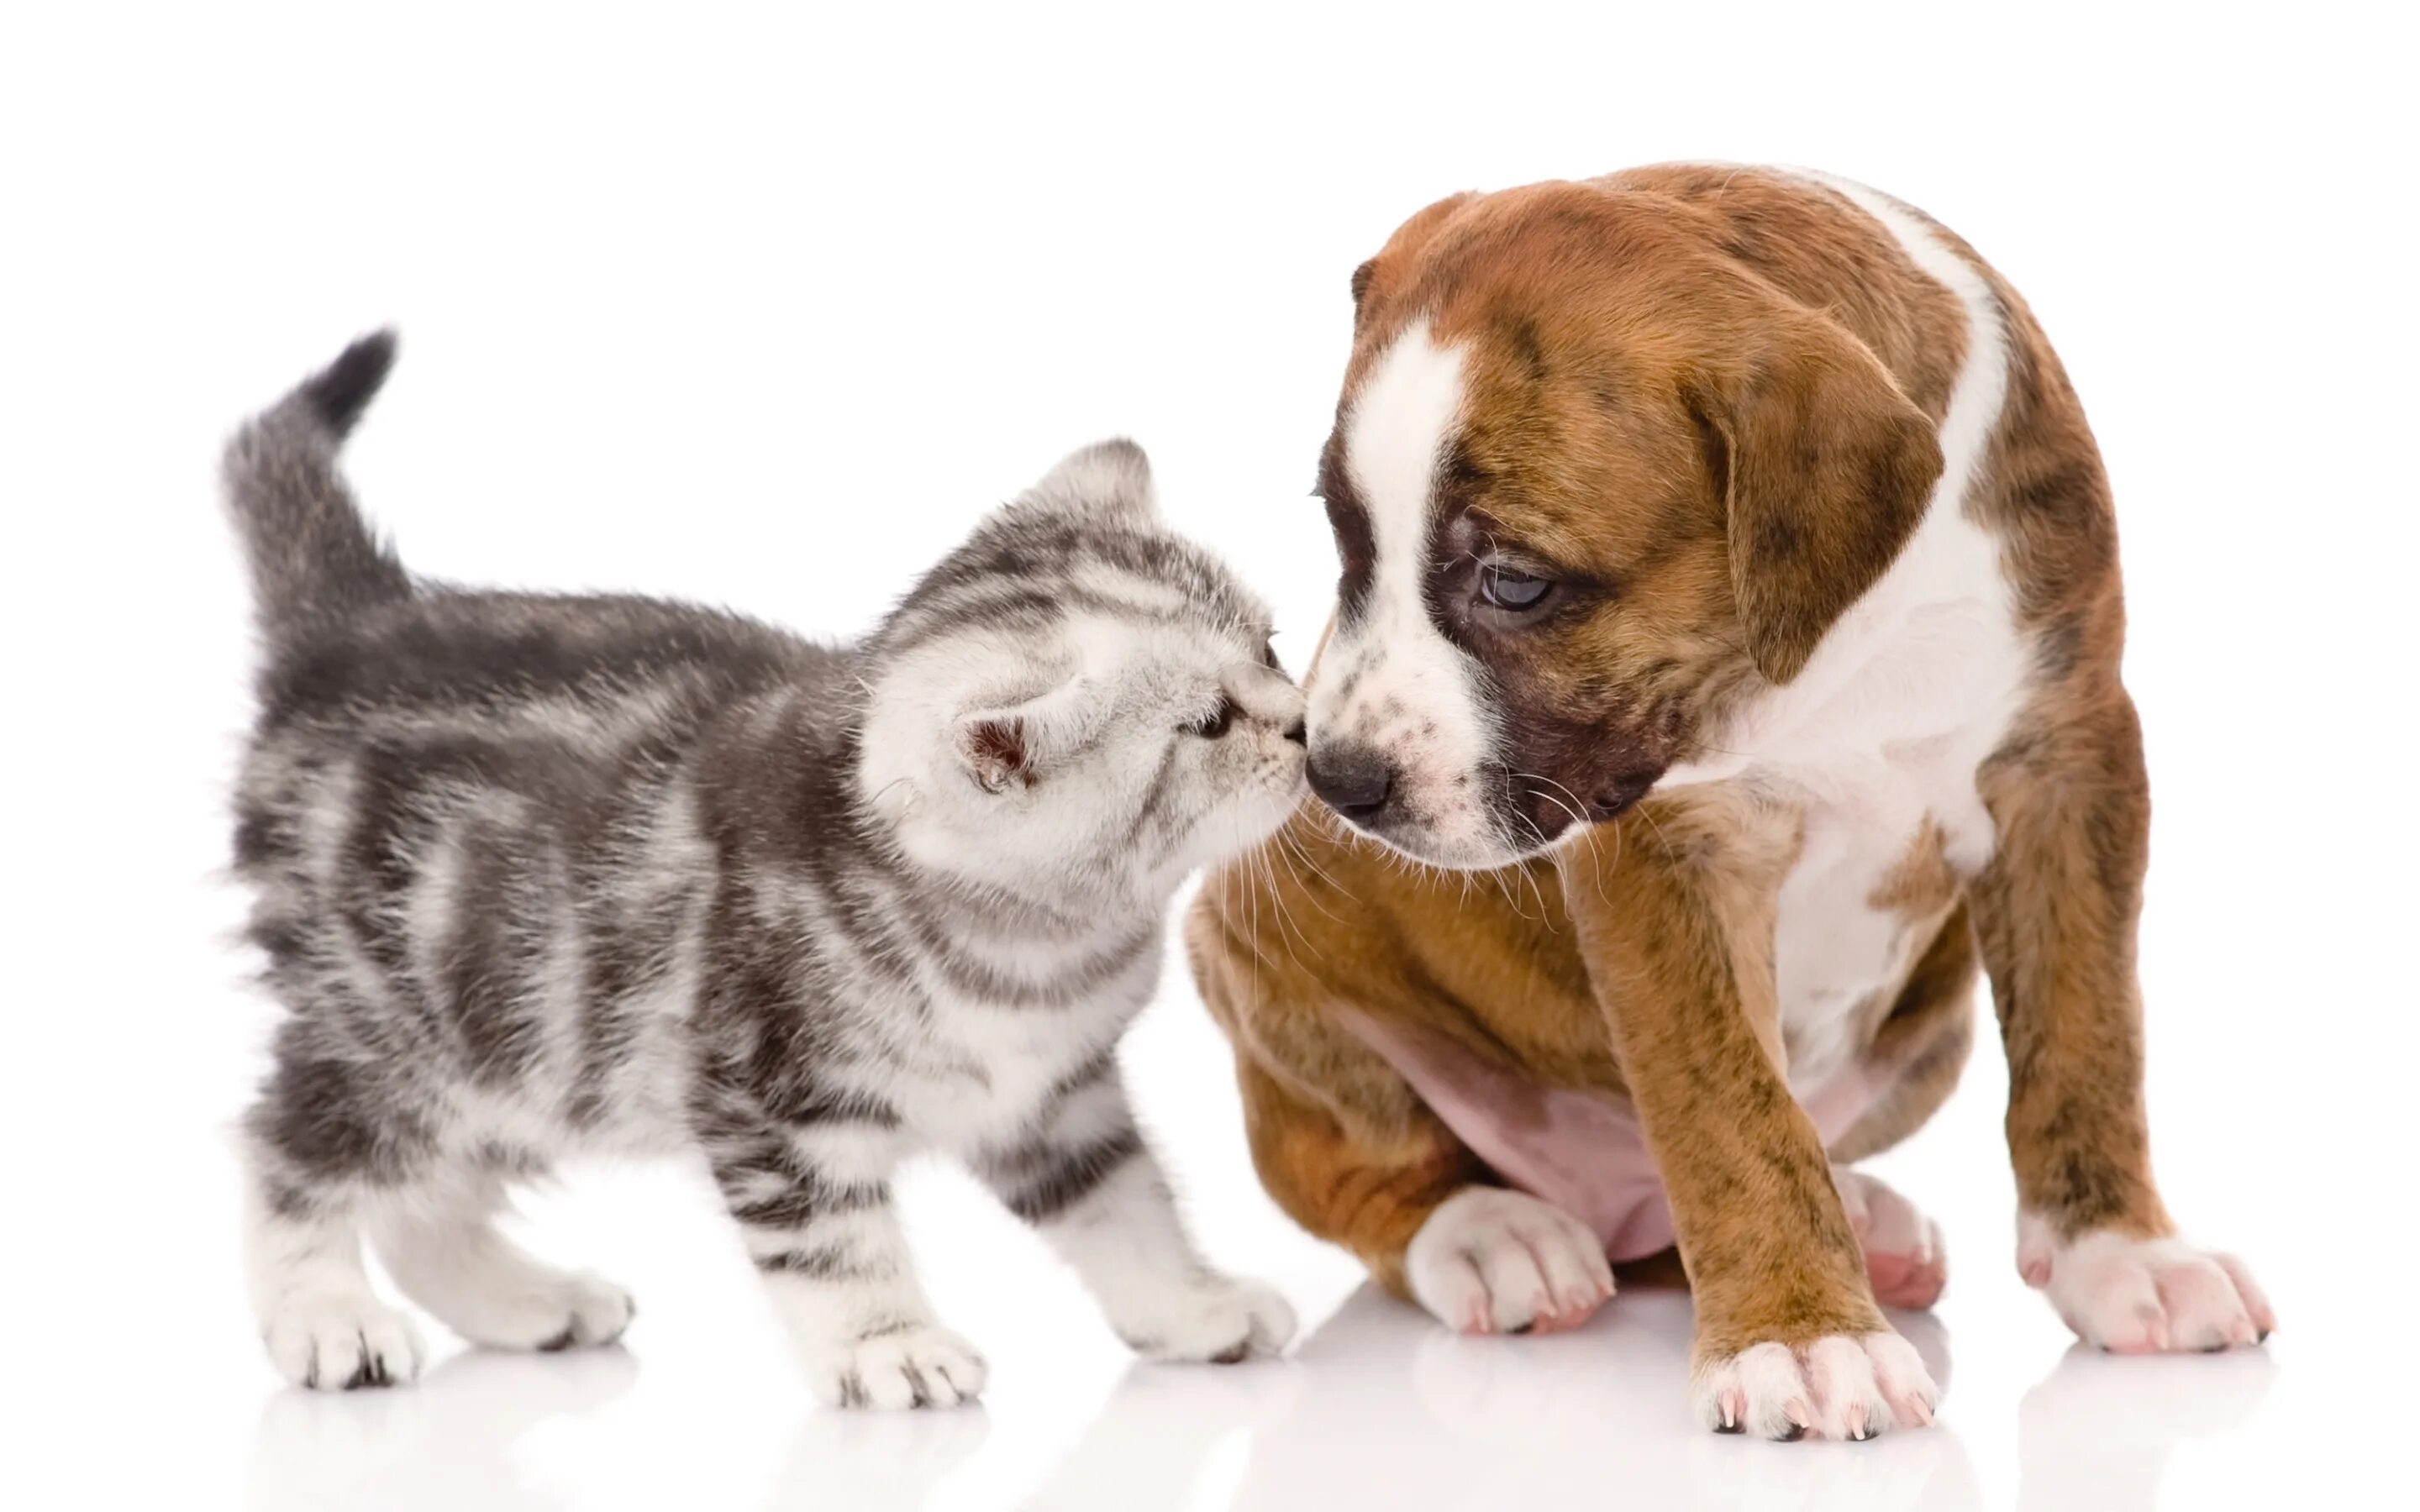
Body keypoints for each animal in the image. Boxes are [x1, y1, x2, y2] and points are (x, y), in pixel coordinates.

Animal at [227, 328, 1307, 1403]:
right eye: (1210, 724)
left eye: (1270, 646)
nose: (1303, 725)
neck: (1034, 947)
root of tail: (348, 634)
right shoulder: (766, 1103)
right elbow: (832, 1243)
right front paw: (888, 1343)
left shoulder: (1056, 1101)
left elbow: (1129, 1209)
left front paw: (1193, 1306)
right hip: (404, 1027)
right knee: (289, 1146)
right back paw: (327, 1313)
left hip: (529, 1051)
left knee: (426, 1206)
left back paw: (526, 1302)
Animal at [1190, 161, 2265, 1441]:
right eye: (1348, 542)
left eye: (1515, 583)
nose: (1340, 781)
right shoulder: (1669, 852)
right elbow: (1729, 1110)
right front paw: (1801, 1336)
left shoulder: (2069, 763)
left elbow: (2087, 1028)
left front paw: (2123, 1253)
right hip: (1252, 958)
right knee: (1360, 1170)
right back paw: (1495, 1235)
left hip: (1933, 1028)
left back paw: (1862, 1223)